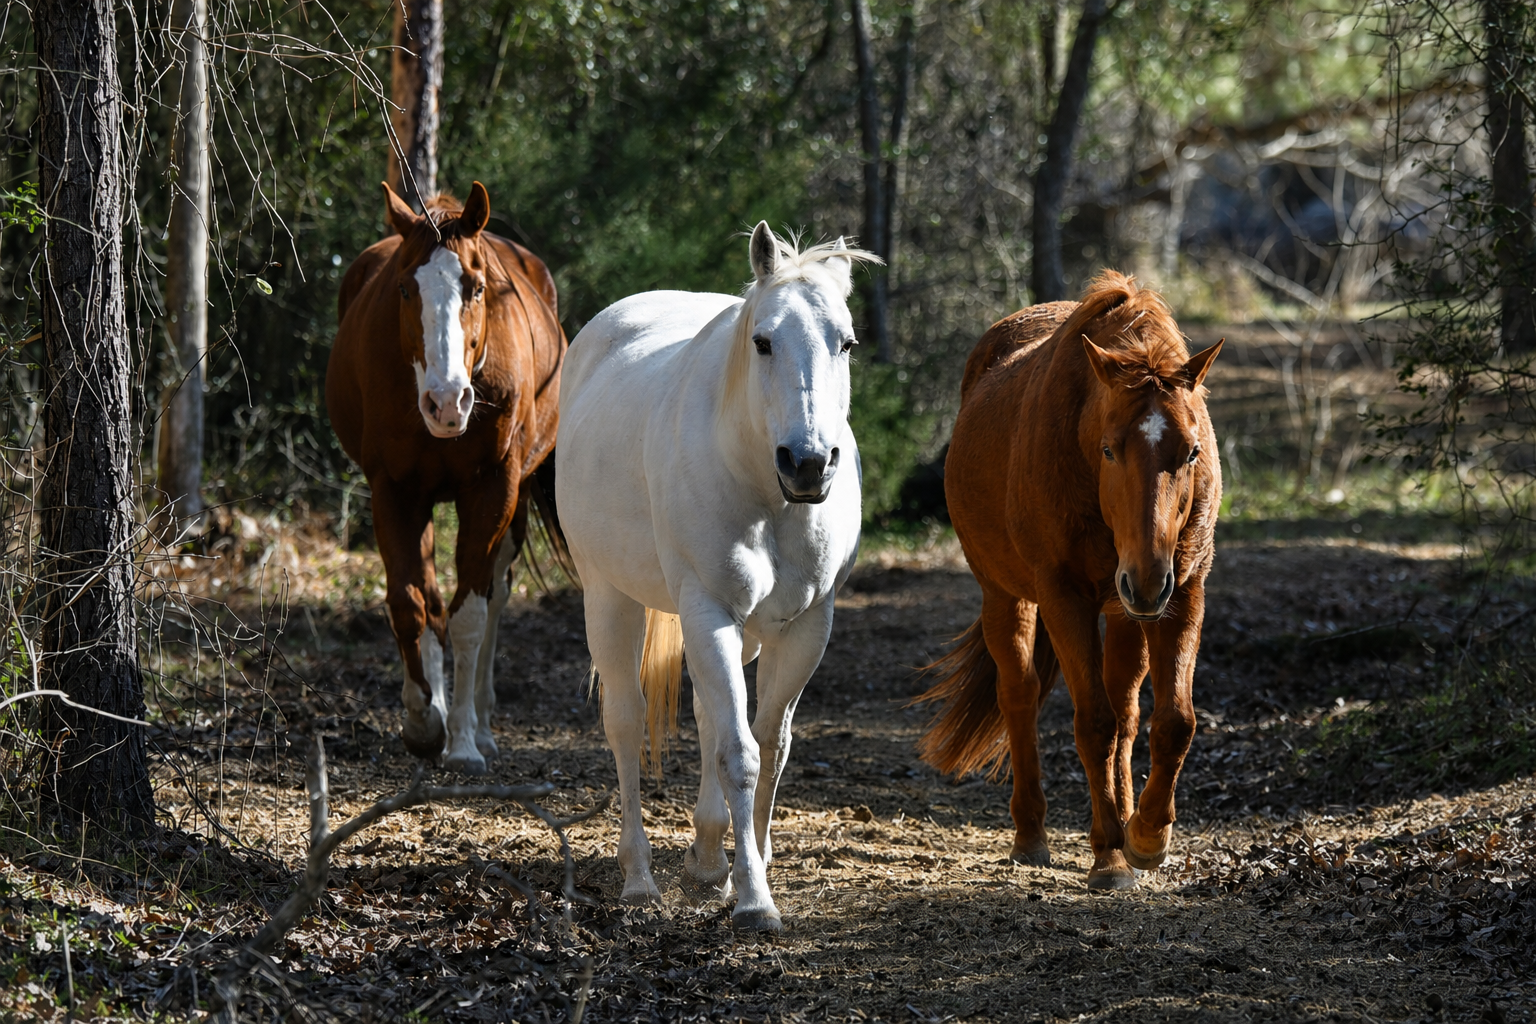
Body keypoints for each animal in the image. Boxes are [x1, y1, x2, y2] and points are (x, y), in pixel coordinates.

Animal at [326, 181, 566, 775]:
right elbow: (411, 605)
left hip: (515, 502)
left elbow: (471, 617)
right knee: (432, 598)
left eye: (476, 287)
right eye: (405, 288)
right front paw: (422, 721)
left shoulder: (494, 487)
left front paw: (461, 741)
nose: (446, 402)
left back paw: (480, 724)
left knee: (495, 595)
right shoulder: (394, 490)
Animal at [556, 223, 876, 932]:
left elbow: (770, 746)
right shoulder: (708, 612)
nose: (809, 463)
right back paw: (640, 878)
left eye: (845, 342)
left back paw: (705, 859)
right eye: (763, 340)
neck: (766, 492)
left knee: (705, 712)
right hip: (611, 599)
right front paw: (754, 899)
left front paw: (737, 870)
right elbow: (740, 753)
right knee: (625, 721)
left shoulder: (804, 627)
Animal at [916, 271, 1223, 890]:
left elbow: (1172, 721)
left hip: (1125, 611)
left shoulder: (1183, 594)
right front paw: (1110, 856)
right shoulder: (1064, 598)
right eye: (1109, 449)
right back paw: (1032, 835)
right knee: (1020, 695)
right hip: (1007, 596)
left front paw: (1146, 837)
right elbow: (1093, 725)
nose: (1146, 579)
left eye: (1192, 451)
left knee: (1128, 712)